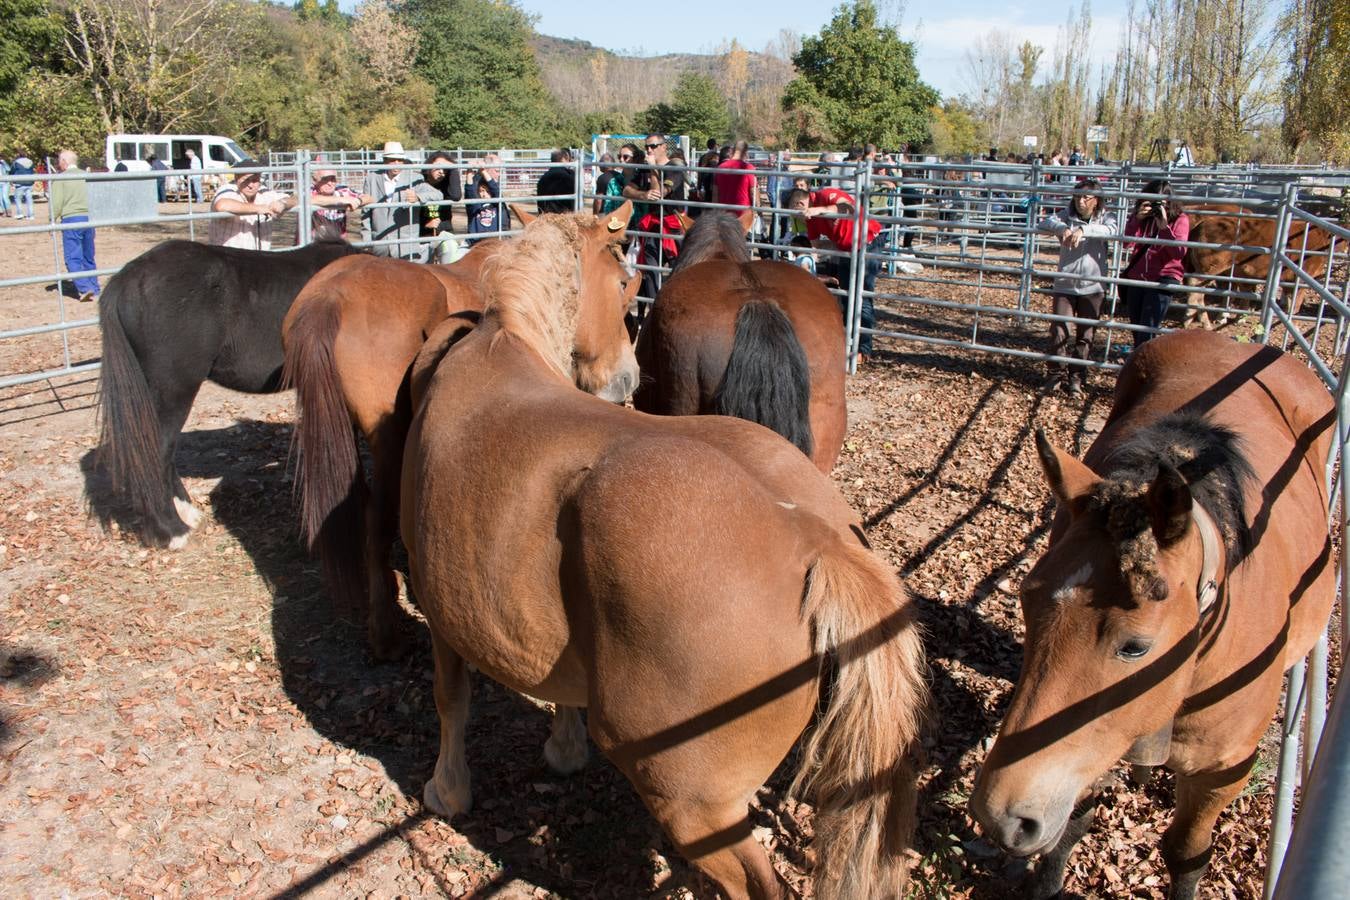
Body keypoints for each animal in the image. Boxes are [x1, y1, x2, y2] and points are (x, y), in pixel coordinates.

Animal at [966, 330, 1333, 900]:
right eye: (1027, 602)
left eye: (1136, 646)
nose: (999, 816)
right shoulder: (1093, 742)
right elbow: (1074, 822)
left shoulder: (1223, 773)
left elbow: (1185, 855)